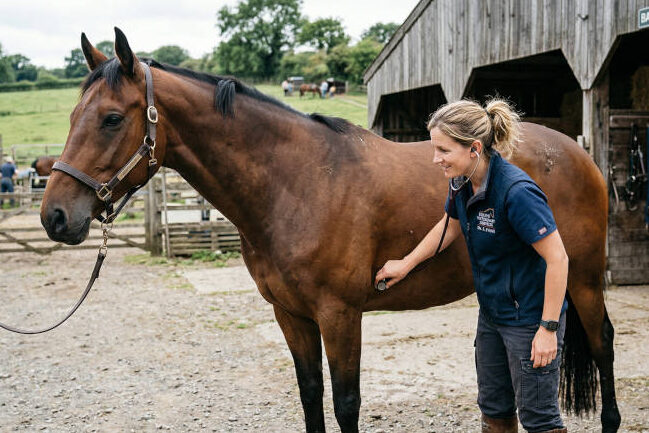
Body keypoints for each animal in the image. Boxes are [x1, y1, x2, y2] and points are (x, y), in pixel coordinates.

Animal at [41, 29, 621, 433]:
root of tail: (576, 151)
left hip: (583, 279)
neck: (299, 182)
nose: (55, 216)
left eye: (112, 118)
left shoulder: (340, 315)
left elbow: (346, 404)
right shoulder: (291, 314)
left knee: (603, 345)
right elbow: (310, 395)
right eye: (70, 116)